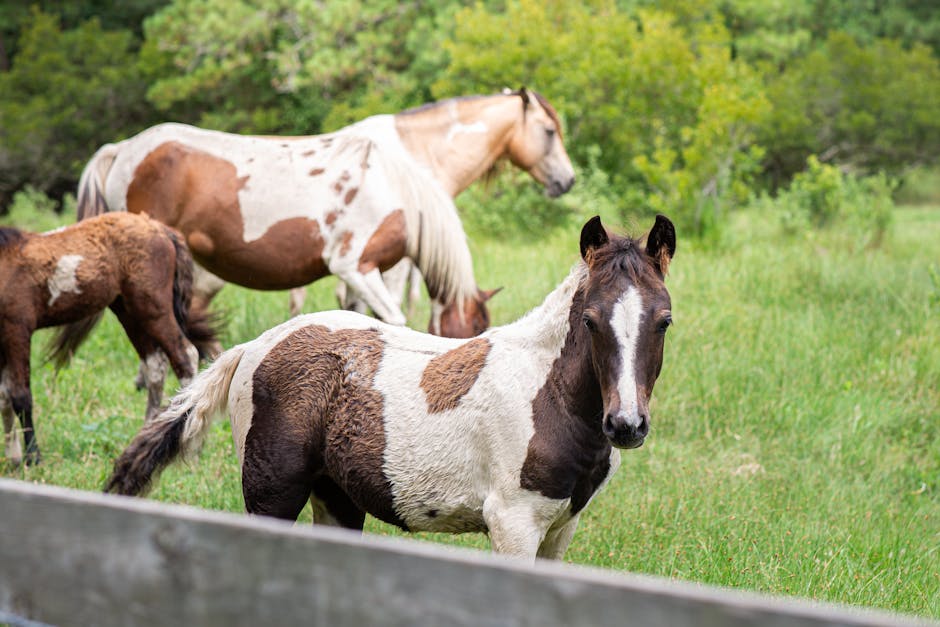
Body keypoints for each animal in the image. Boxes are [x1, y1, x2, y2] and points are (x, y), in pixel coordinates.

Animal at [0, 215, 215, 466]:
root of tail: (160, 228)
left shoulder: (17, 328)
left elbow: (20, 395)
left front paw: (33, 457)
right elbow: (4, 394)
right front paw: (13, 457)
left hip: (153, 308)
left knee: (184, 355)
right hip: (129, 311)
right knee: (155, 365)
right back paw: (148, 432)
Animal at [104, 213, 676, 560]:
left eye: (664, 321)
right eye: (591, 322)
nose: (626, 425)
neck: (548, 394)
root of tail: (254, 346)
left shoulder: (561, 527)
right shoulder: (513, 523)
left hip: (335, 498)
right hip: (272, 493)